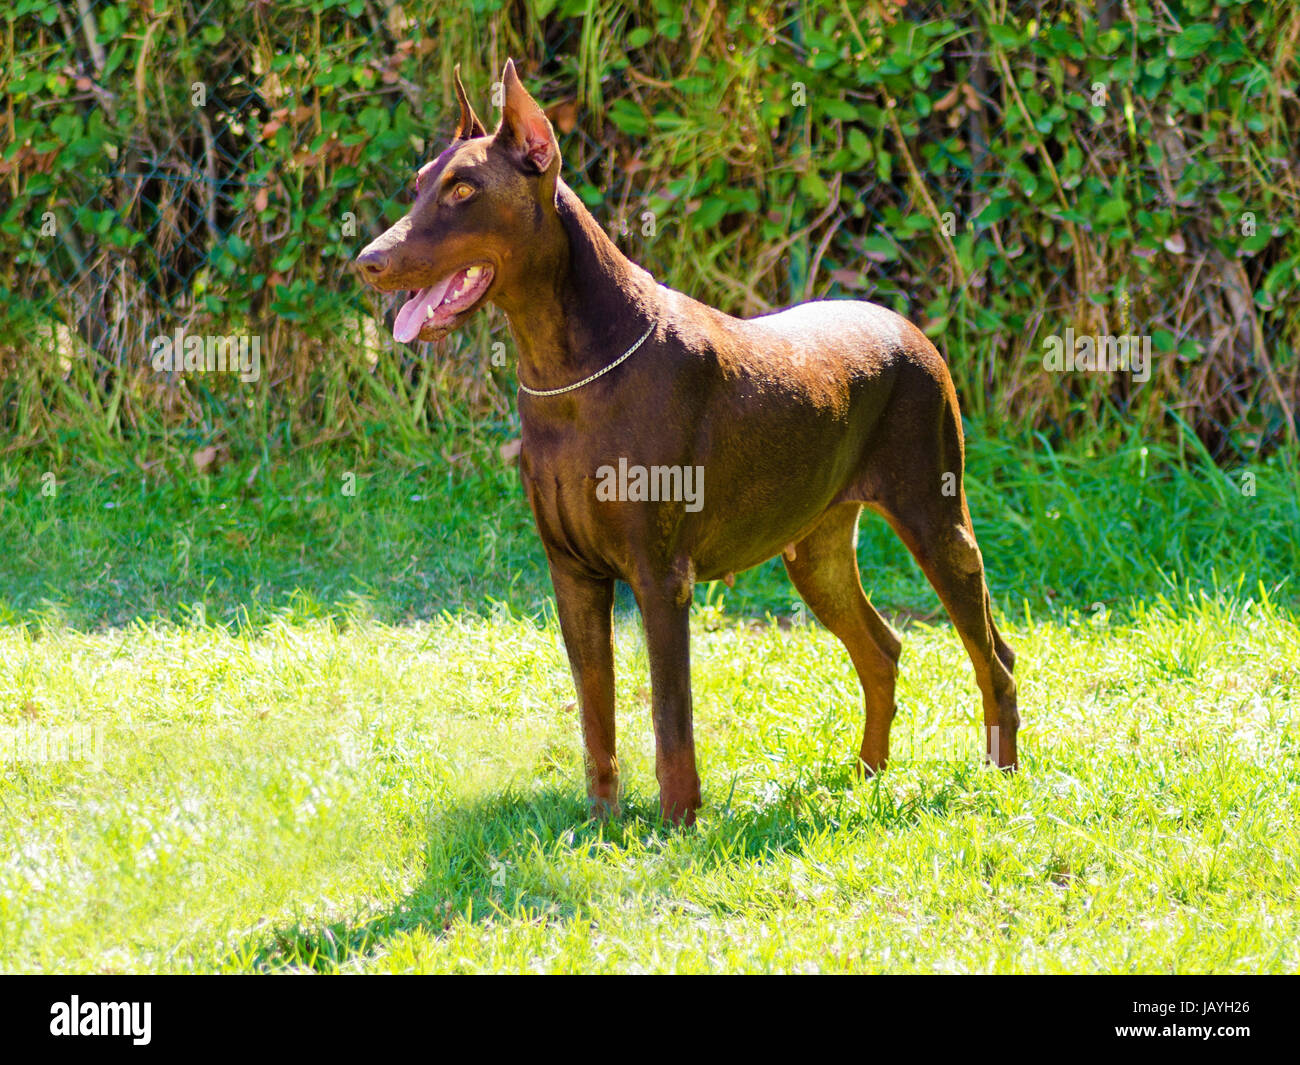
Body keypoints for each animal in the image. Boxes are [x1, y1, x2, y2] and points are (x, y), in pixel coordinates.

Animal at [356, 60, 1013, 827]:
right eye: (419, 184)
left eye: (463, 189)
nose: (367, 261)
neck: (566, 374)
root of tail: (911, 330)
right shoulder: (572, 575)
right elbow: (596, 712)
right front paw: (600, 823)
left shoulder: (660, 575)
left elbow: (671, 715)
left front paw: (678, 824)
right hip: (815, 548)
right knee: (881, 649)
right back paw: (866, 776)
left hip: (937, 520)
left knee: (993, 659)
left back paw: (1002, 780)